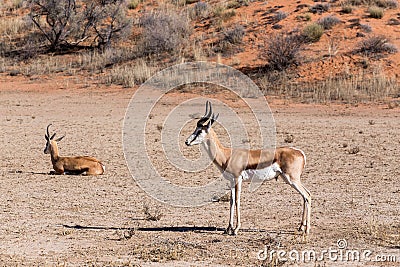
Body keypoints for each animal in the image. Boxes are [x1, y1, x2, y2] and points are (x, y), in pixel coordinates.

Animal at [186, 101, 310, 237]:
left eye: (199, 131)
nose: (187, 142)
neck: (227, 155)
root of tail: (300, 152)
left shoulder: (238, 179)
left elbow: (237, 200)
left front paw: (236, 229)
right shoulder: (231, 181)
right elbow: (231, 201)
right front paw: (228, 228)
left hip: (292, 179)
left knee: (307, 195)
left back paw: (307, 229)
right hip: (288, 179)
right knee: (305, 196)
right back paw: (301, 227)